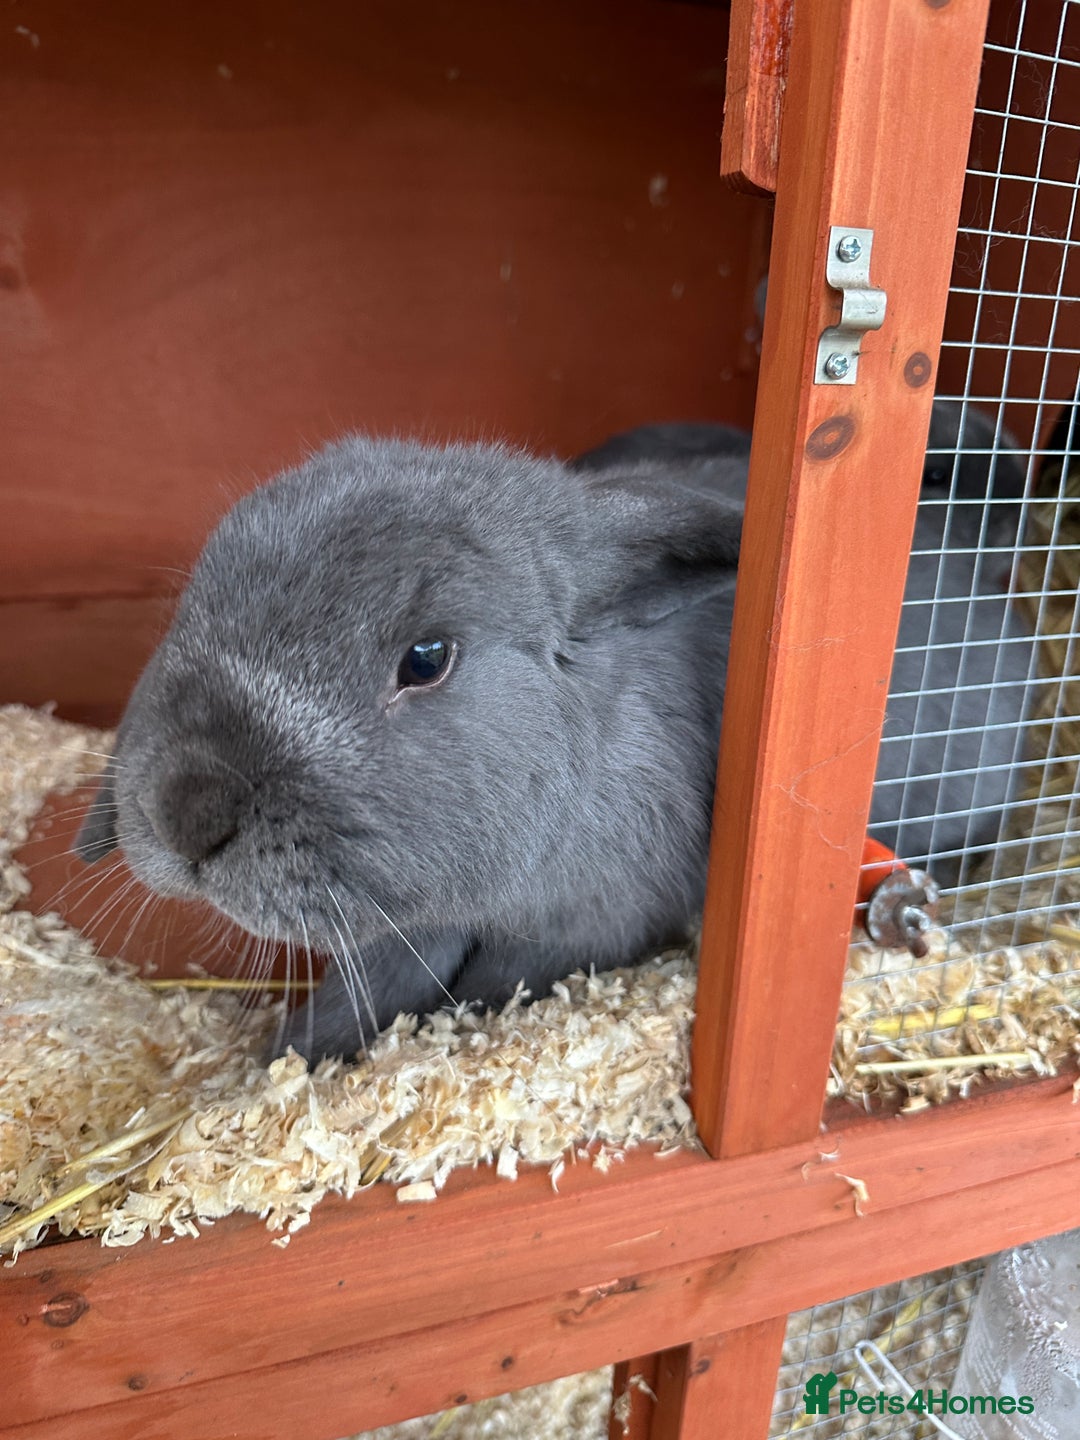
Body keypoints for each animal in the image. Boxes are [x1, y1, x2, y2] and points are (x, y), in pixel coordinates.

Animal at [75, 435, 744, 1061]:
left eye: (426, 658)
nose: (184, 816)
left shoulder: (587, 925)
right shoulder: (400, 936)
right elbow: (369, 990)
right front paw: (287, 1059)